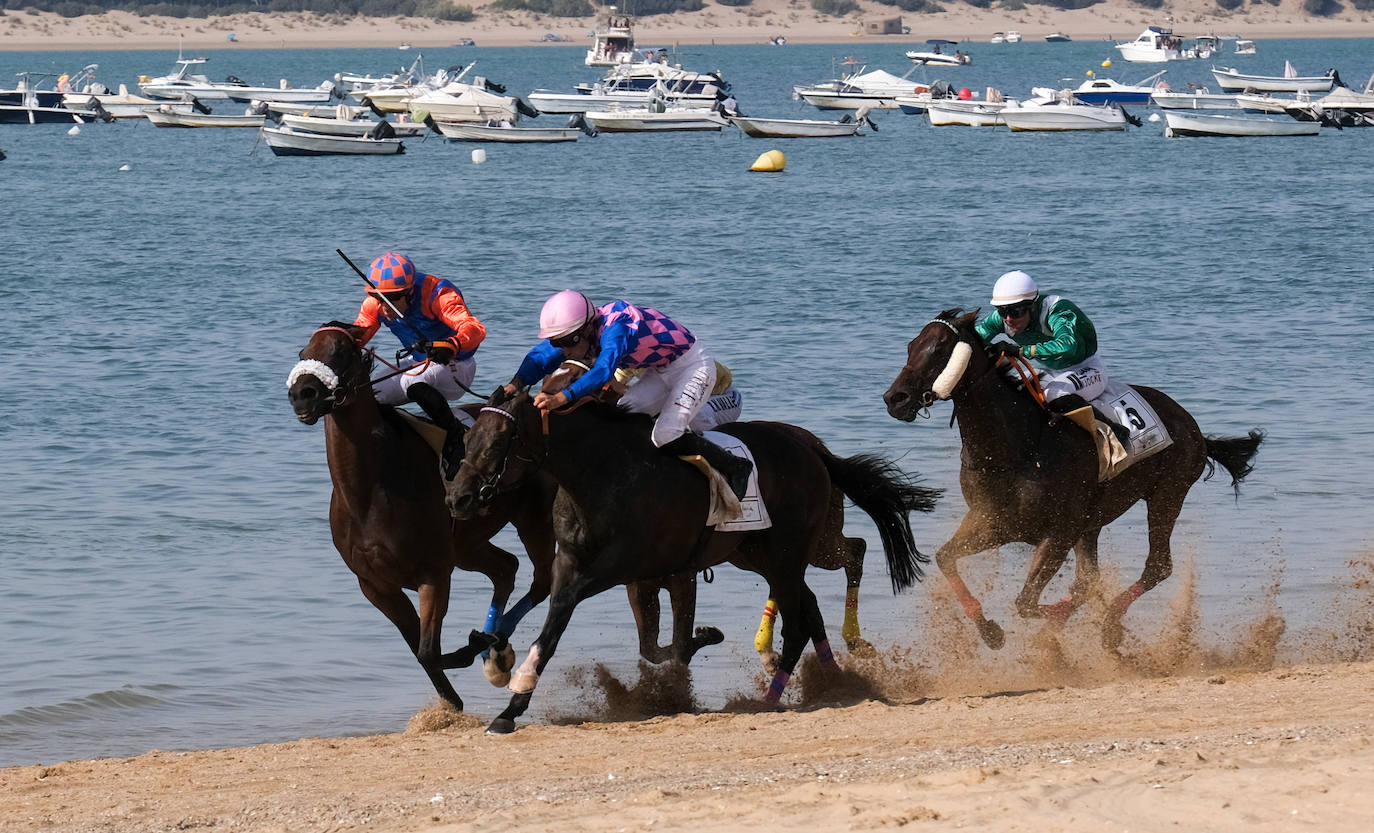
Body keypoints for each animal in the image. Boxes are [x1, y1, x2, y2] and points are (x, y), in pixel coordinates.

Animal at [286, 323, 558, 710]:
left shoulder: (434, 573)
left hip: (533, 521)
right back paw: (494, 647)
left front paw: (477, 654)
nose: (302, 395)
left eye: (340, 352)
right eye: (303, 352)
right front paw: (461, 689)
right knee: (506, 568)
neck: (370, 492)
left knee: (541, 580)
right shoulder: (376, 586)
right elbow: (420, 650)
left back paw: (494, 645)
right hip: (466, 544)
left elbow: (428, 650)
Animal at [446, 390, 938, 734]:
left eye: (499, 442)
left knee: (815, 600)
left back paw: (771, 696)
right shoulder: (590, 566)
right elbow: (588, 632)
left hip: (791, 550)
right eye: (468, 438)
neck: (601, 471)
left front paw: (511, 687)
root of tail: (813, 448)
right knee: (809, 604)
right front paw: (505, 688)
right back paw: (825, 680)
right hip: (757, 554)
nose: (457, 498)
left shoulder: (622, 567)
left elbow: (570, 621)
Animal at [882, 309, 1263, 651]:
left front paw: (1058, 632)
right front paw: (990, 630)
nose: (894, 398)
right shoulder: (994, 523)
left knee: (1156, 566)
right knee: (1090, 579)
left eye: (940, 348)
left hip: (1167, 494)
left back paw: (1109, 625)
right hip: (1092, 523)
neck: (1018, 446)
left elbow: (1028, 603)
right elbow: (946, 558)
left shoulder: (1059, 532)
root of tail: (1192, 425)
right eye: (912, 345)